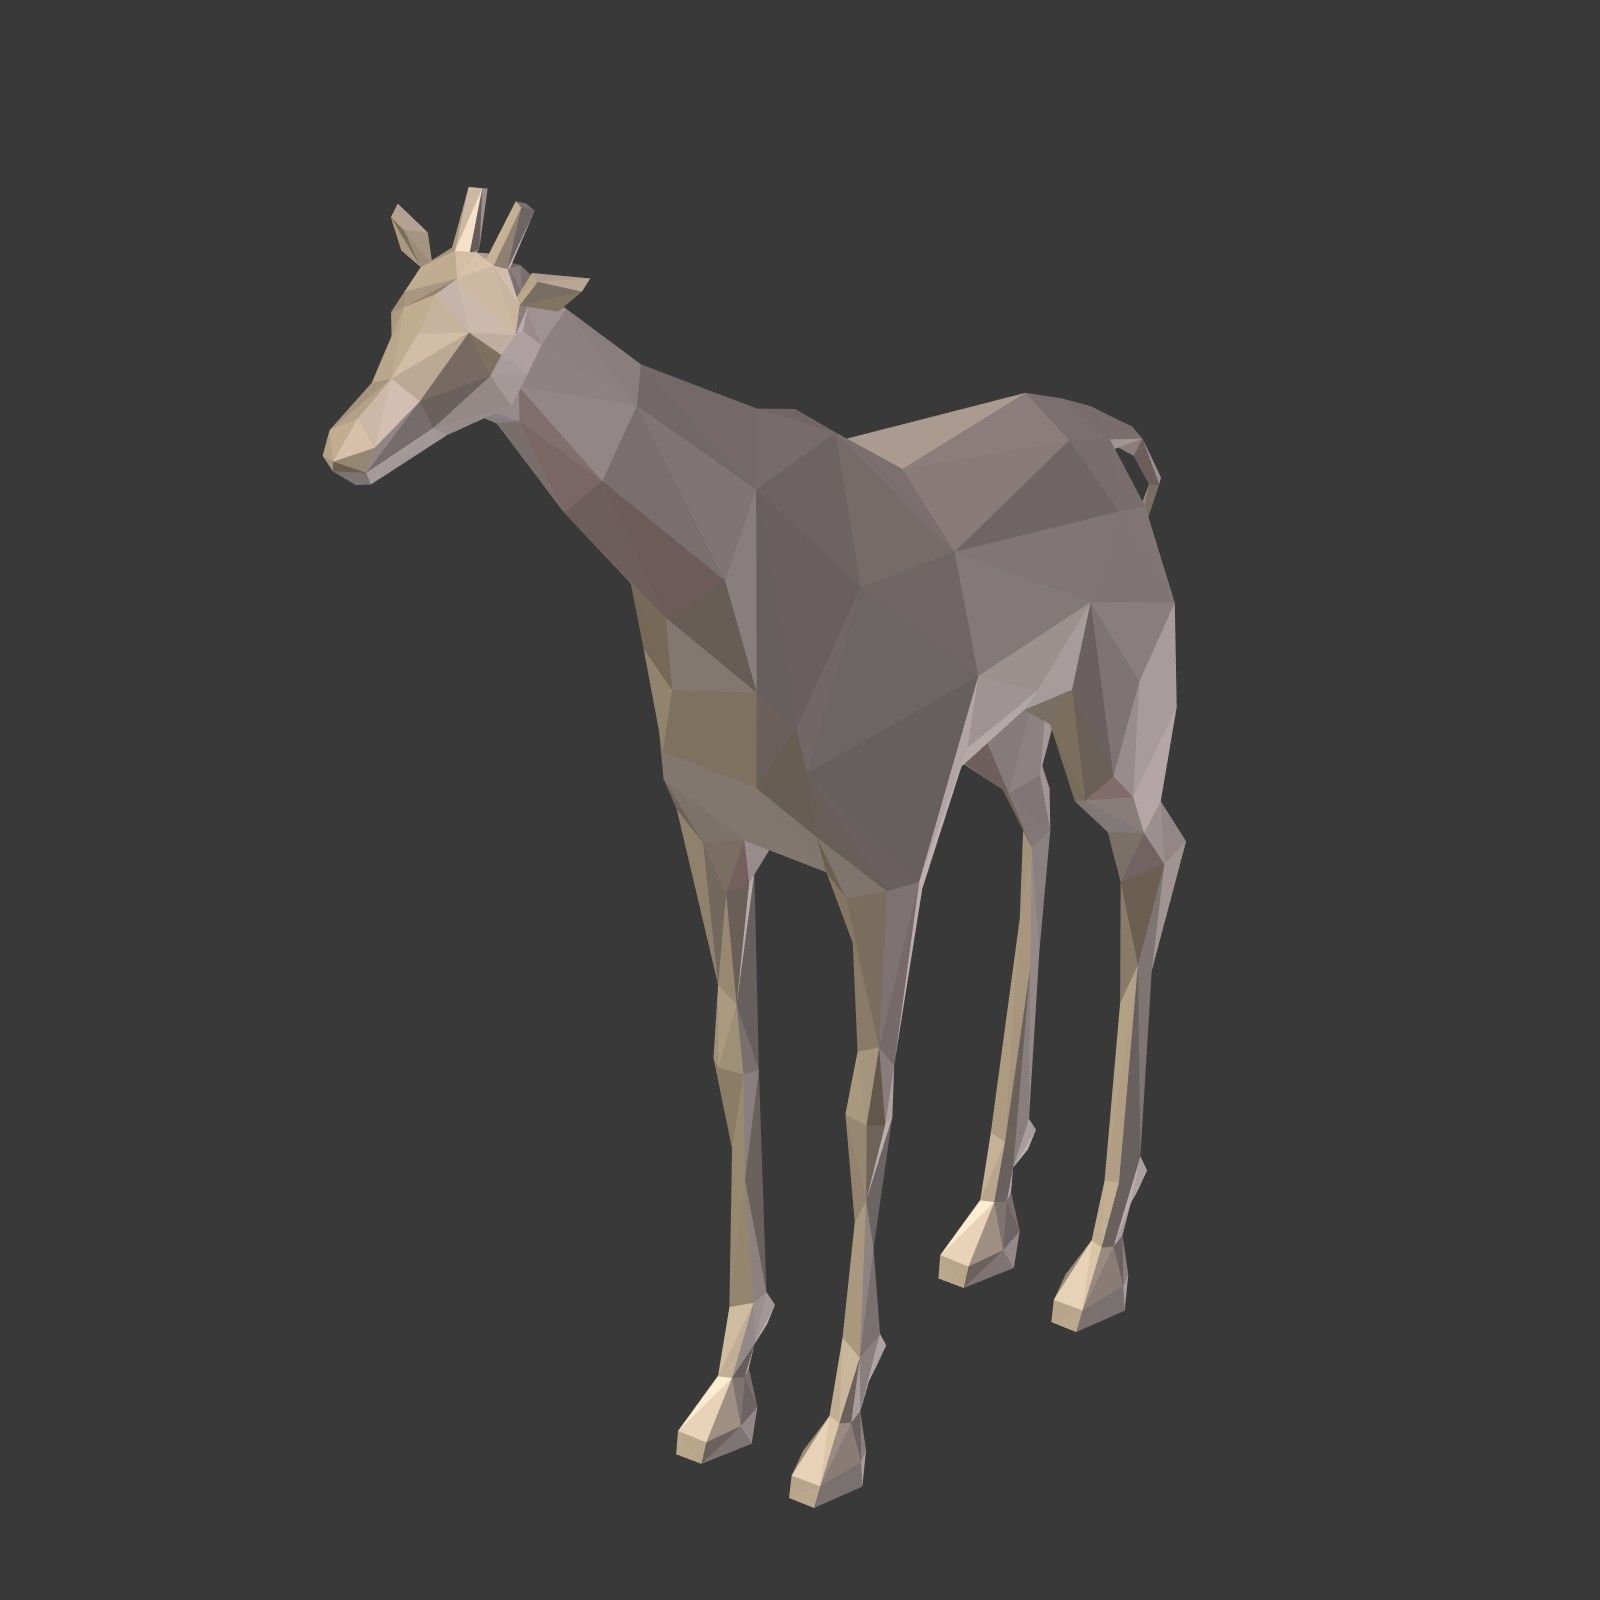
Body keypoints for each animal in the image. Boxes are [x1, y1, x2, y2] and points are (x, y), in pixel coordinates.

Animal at [325, 189, 1184, 1507]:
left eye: (482, 339)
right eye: (395, 312)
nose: (344, 450)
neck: (726, 574)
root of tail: (1115, 445)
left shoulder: (879, 863)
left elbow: (866, 1099)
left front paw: (836, 1430)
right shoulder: (716, 838)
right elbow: (738, 1067)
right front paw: (725, 1393)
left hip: (1115, 737)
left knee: (1153, 857)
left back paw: (1093, 1266)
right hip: (1007, 739)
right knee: (1040, 833)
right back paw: (987, 1224)